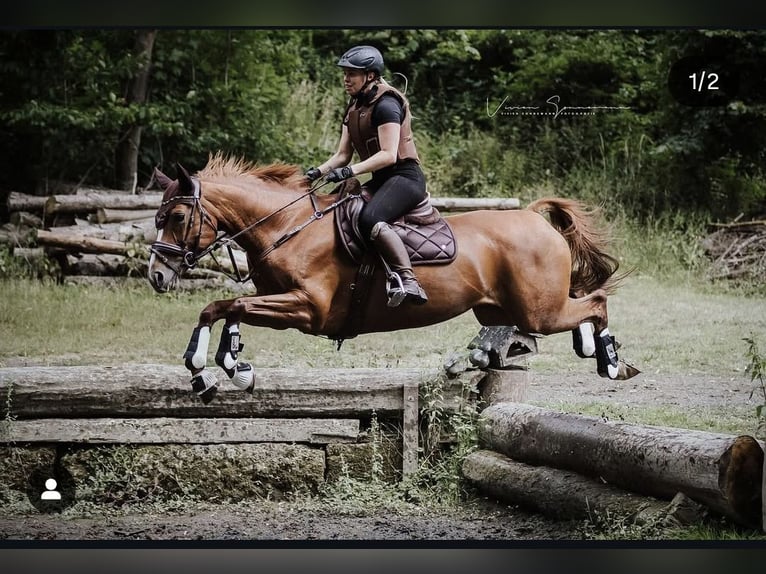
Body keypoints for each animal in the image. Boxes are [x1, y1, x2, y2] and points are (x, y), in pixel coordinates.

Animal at [148, 153, 639, 401]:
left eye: (176, 217)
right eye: (157, 217)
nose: (156, 275)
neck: (286, 228)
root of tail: (534, 216)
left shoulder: (307, 309)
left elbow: (224, 305)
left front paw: (213, 368)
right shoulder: (275, 301)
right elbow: (226, 309)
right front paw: (224, 368)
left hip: (540, 308)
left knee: (593, 303)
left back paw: (610, 362)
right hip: (497, 306)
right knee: (523, 333)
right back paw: (482, 357)